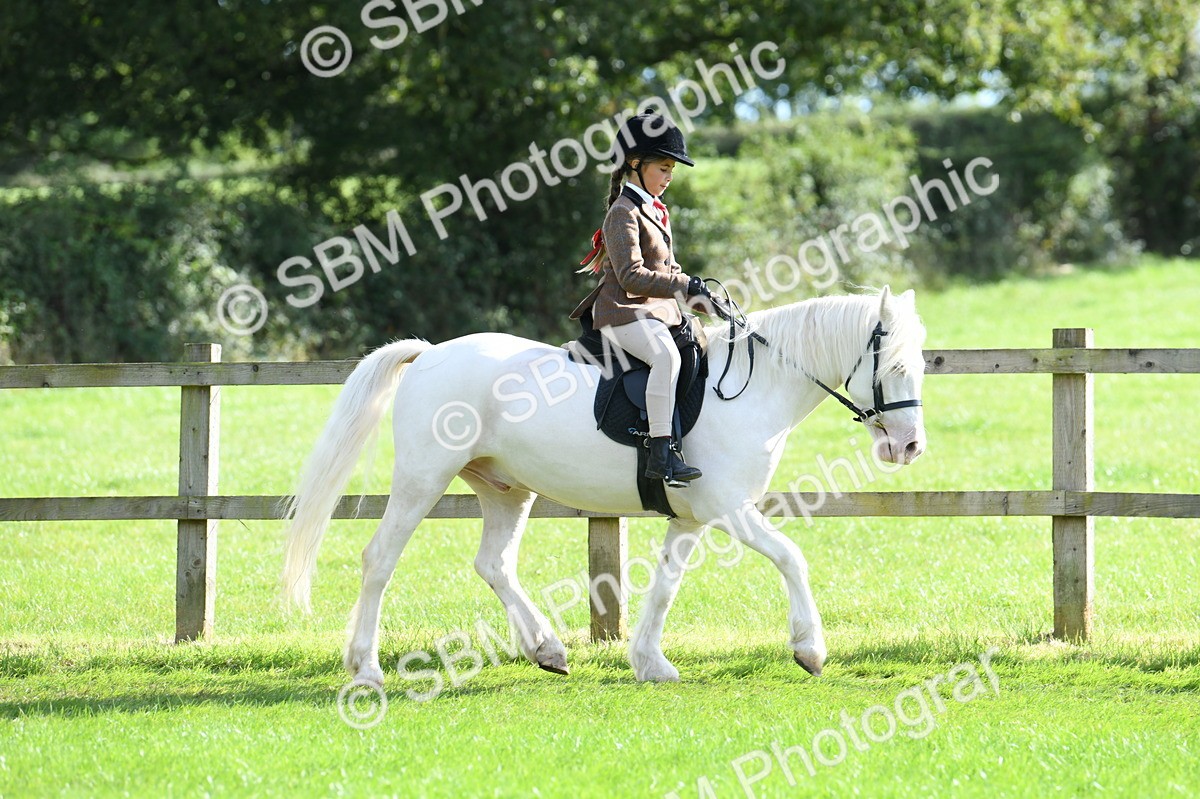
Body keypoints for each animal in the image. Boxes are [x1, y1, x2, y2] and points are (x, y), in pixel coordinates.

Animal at [282, 286, 927, 685]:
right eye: (894, 367)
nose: (909, 447)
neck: (751, 387)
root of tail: (431, 353)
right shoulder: (727, 508)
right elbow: (792, 557)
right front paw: (809, 650)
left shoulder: (691, 517)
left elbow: (665, 585)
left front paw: (649, 663)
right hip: (423, 478)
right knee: (380, 560)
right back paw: (366, 668)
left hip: (505, 488)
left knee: (494, 564)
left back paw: (547, 649)